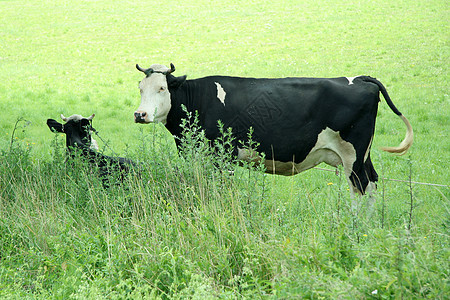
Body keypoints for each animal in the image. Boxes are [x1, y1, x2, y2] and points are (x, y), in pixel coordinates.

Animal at [133, 63, 412, 196]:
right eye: (141, 88)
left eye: (162, 88)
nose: (140, 114)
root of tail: (361, 78)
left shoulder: (222, 156)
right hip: (363, 155)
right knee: (372, 182)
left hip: (353, 154)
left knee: (360, 186)